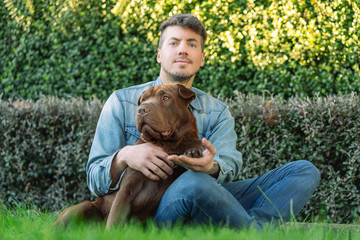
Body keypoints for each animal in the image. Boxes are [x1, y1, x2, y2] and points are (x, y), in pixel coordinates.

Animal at [54, 84, 204, 229]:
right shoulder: (128, 187)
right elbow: (116, 215)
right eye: (143, 100)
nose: (142, 109)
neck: (167, 144)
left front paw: (193, 153)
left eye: (166, 97)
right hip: (82, 209)